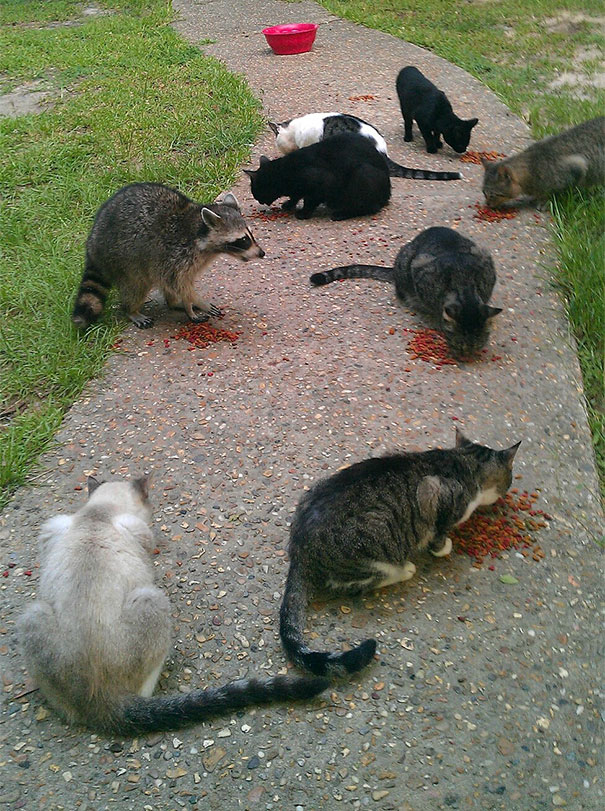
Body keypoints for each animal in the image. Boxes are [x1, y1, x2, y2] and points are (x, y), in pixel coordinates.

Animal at [72, 183, 264, 329]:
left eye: (250, 235)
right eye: (243, 240)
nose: (262, 253)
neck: (199, 233)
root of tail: (92, 242)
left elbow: (182, 283)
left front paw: (188, 304)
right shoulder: (175, 255)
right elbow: (178, 283)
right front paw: (196, 301)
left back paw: (172, 302)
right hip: (123, 259)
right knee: (135, 286)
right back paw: (131, 310)